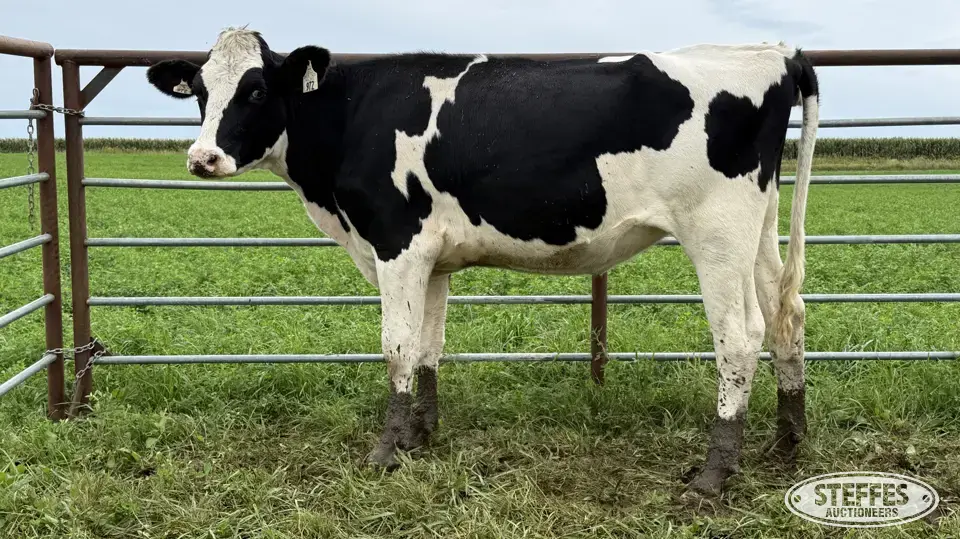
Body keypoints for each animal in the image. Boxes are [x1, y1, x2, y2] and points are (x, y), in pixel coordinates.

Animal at [146, 27, 819, 497]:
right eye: (200, 91)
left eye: (256, 89)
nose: (202, 158)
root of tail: (776, 53)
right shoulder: (433, 259)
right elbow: (428, 346)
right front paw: (421, 436)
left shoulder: (397, 243)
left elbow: (396, 345)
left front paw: (386, 450)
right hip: (759, 231)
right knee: (786, 317)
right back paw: (787, 444)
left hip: (717, 233)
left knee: (739, 337)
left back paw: (713, 475)